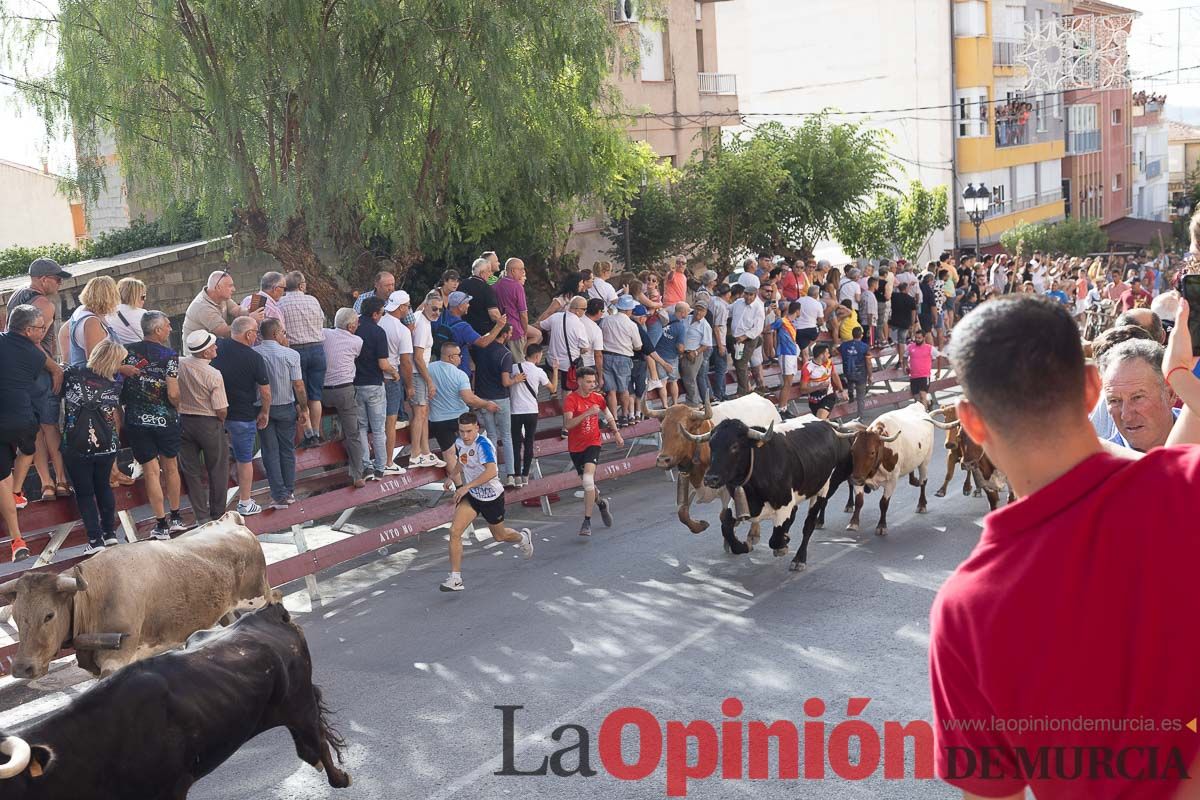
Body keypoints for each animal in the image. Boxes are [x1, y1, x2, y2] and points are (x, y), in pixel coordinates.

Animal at [0, 510, 271, 681]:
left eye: (49, 615)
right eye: (16, 615)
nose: (22, 668)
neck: (93, 596)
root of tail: (230, 520)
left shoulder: (116, 659)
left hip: (259, 595)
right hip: (222, 609)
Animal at [643, 393, 782, 544]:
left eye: (683, 430)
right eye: (661, 429)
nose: (663, 460)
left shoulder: (727, 490)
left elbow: (724, 515)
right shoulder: (688, 479)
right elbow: (682, 512)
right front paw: (700, 525)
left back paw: (753, 533)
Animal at [696, 417, 854, 573]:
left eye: (734, 446)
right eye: (711, 445)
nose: (710, 478)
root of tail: (827, 424)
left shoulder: (784, 504)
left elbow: (775, 539)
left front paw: (783, 545)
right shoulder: (738, 503)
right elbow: (726, 526)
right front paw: (744, 546)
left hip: (823, 488)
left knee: (809, 525)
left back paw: (799, 559)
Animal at [830, 400, 960, 537]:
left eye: (872, 452)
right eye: (852, 450)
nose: (855, 478)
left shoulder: (891, 481)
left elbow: (883, 503)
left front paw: (881, 526)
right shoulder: (860, 476)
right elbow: (859, 501)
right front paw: (853, 523)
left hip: (925, 461)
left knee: (923, 482)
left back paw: (921, 504)